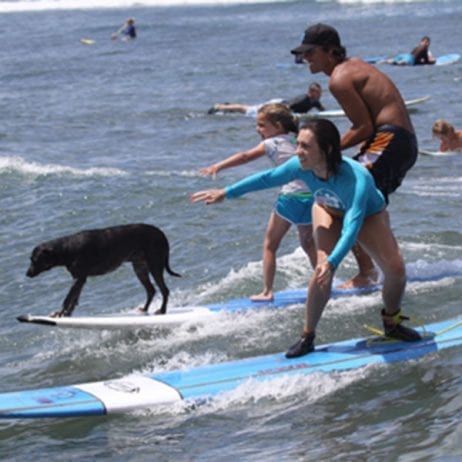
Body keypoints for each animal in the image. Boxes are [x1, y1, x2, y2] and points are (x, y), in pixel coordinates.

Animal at [25, 224, 180, 318]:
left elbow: (68, 298)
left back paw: (162, 310)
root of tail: (161, 233)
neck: (66, 249)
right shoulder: (79, 280)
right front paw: (67, 313)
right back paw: (144, 309)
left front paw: (61, 313)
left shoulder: (79, 279)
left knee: (164, 290)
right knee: (151, 290)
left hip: (155, 265)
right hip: (140, 267)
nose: (27, 274)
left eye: (34, 259)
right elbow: (74, 299)